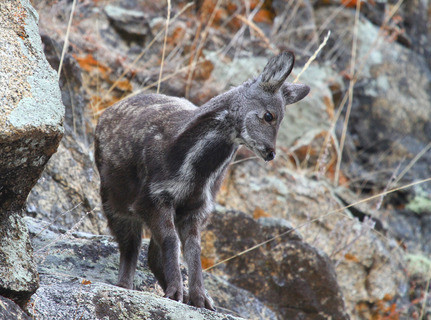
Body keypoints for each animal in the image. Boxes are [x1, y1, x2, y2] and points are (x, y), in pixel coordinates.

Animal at [94, 52, 310, 310]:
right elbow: (171, 240)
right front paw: (176, 292)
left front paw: (200, 298)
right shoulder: (152, 197)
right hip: (113, 201)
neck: (192, 172)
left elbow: (193, 248)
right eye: (269, 115)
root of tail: (104, 115)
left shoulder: (197, 207)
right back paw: (125, 285)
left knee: (151, 253)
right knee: (131, 245)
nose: (270, 153)